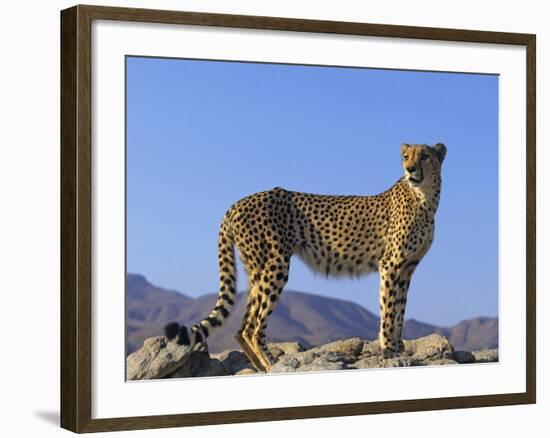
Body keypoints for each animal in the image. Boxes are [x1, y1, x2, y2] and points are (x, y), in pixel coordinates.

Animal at [165, 142, 448, 372]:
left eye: (424, 156)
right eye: (406, 156)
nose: (410, 169)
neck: (424, 198)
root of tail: (237, 203)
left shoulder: (407, 268)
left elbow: (399, 308)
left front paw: (398, 347)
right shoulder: (391, 265)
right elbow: (388, 309)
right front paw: (389, 349)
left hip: (256, 270)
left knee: (242, 328)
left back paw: (262, 367)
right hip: (275, 265)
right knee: (253, 327)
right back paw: (273, 366)